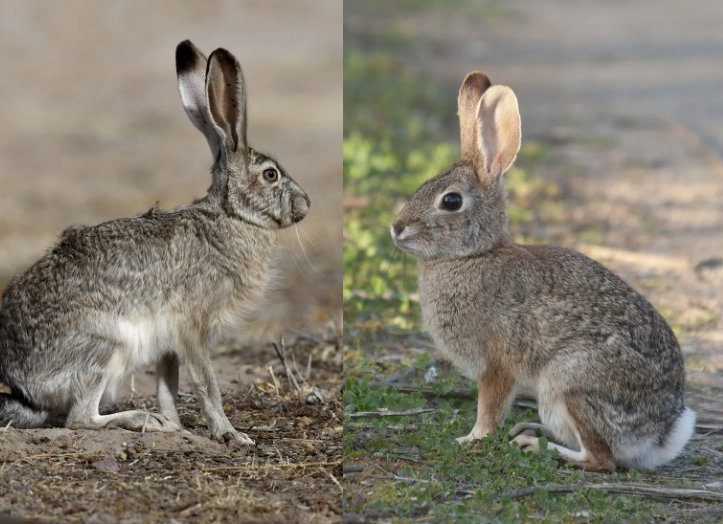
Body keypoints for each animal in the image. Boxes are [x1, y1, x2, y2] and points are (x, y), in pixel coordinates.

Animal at [0, 40, 310, 445]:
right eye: (271, 175)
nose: (305, 205)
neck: (231, 216)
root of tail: (24, 388)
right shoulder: (192, 325)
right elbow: (207, 385)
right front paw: (230, 435)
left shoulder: (169, 340)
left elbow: (168, 384)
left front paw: (177, 426)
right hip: (106, 347)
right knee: (80, 418)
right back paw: (140, 420)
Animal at [390, 71, 695, 472]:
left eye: (451, 201)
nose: (396, 228)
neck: (474, 254)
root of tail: (659, 434)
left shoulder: (498, 363)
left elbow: (490, 407)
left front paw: (471, 439)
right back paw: (529, 430)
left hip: (569, 382)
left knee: (602, 459)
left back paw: (535, 447)